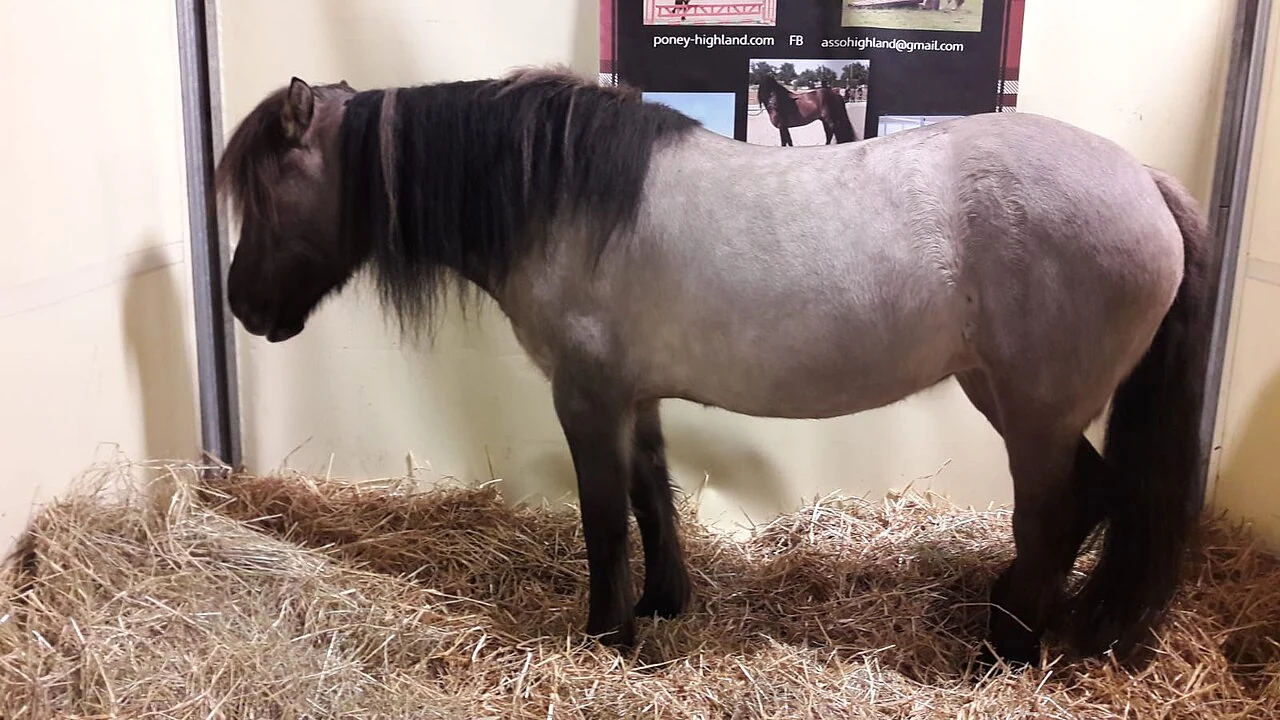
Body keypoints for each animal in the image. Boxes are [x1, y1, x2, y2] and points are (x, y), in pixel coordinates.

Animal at [214, 66, 1212, 669]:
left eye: (268, 190)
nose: (243, 308)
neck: (566, 201)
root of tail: (1145, 181)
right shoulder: (634, 396)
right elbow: (652, 495)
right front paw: (664, 605)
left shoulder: (585, 397)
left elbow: (604, 517)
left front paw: (606, 633)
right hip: (1015, 399)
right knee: (1090, 498)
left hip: (1033, 410)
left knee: (1056, 512)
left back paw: (1000, 649)